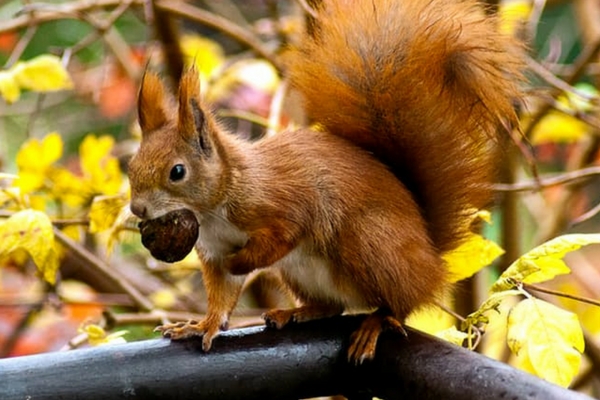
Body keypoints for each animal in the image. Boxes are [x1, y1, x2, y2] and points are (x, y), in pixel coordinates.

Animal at [126, 0, 520, 362]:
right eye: (131, 167)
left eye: (177, 172)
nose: (137, 208)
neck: (214, 207)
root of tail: (430, 257)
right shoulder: (214, 249)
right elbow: (222, 295)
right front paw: (201, 326)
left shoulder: (283, 203)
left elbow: (282, 236)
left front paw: (242, 263)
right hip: (303, 273)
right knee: (335, 307)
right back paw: (296, 312)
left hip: (370, 244)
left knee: (400, 304)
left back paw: (376, 322)